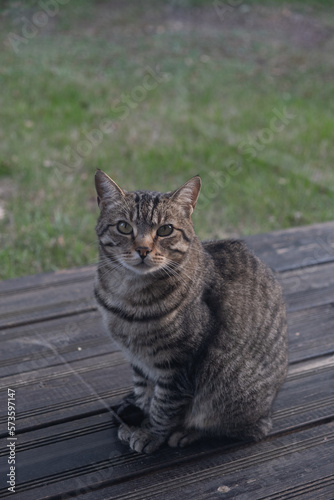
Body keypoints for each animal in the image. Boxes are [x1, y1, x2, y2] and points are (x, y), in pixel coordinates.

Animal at [94, 170, 288, 456]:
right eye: (124, 227)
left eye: (165, 230)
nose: (143, 250)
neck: (127, 297)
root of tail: (268, 411)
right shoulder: (139, 361)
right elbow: (143, 393)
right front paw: (140, 415)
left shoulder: (177, 365)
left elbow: (163, 406)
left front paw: (151, 433)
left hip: (229, 391)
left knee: (240, 427)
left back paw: (187, 432)